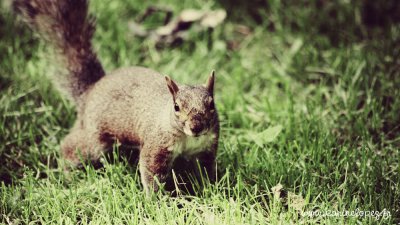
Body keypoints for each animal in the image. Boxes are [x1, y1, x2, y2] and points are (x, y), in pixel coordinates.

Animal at [14, 0, 219, 193]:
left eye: (211, 105)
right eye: (176, 107)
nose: (196, 127)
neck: (188, 138)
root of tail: (91, 90)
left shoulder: (206, 148)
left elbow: (204, 170)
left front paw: (209, 187)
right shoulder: (157, 145)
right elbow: (151, 172)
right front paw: (156, 200)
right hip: (95, 137)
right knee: (71, 147)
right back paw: (68, 173)